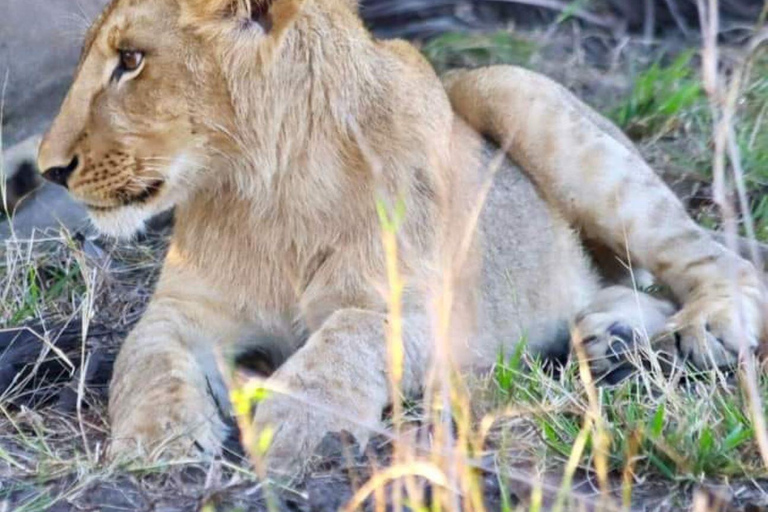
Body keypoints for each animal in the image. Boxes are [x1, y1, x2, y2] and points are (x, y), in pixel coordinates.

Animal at [37, 0, 768, 474]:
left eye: (131, 60)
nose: (49, 168)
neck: (262, 190)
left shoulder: (424, 308)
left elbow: (347, 341)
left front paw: (293, 422)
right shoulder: (182, 311)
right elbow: (145, 360)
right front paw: (156, 441)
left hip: (511, 89)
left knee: (714, 262)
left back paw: (706, 327)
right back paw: (611, 339)